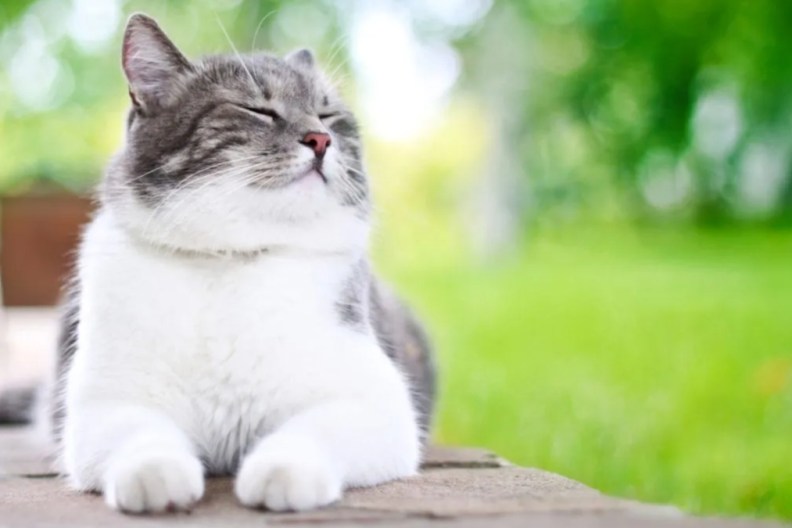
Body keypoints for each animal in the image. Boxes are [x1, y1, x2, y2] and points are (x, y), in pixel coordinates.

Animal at [0, 12, 436, 512]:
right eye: (257, 110)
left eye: (330, 115)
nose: (321, 138)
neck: (230, 258)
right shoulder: (104, 405)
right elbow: (141, 435)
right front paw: (155, 474)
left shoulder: (378, 404)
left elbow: (314, 431)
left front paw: (282, 472)